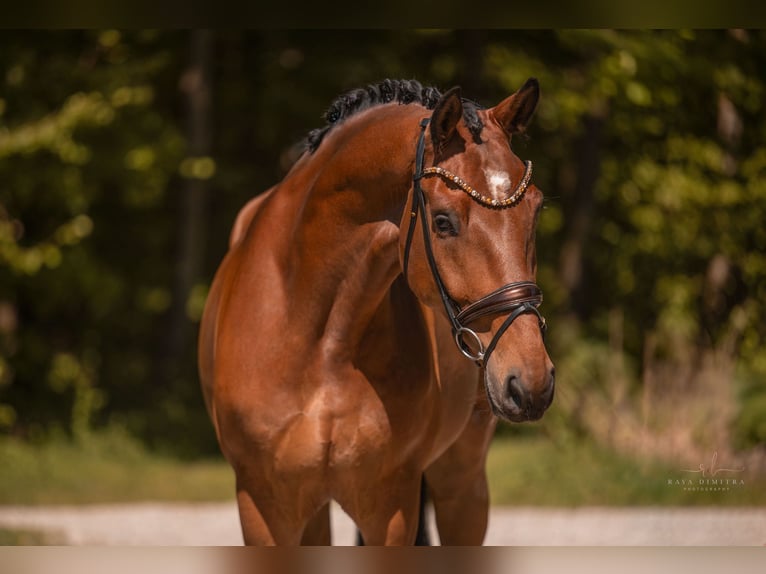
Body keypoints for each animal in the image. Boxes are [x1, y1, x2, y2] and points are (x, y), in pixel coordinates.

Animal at [198, 78, 555, 545]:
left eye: (536, 209)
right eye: (442, 222)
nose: (531, 383)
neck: (319, 341)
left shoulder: (389, 506)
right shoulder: (263, 506)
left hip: (462, 481)